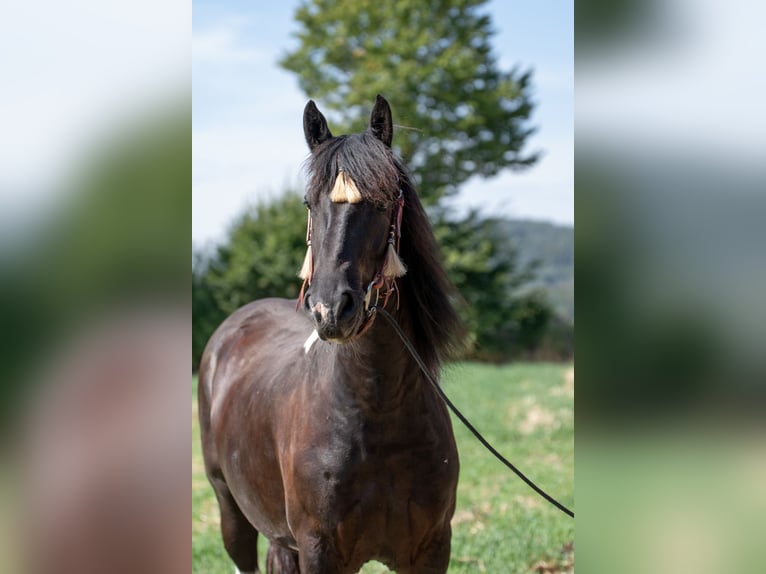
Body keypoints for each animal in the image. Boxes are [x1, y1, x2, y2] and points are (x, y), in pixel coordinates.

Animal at [198, 95, 464, 573]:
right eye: (309, 203)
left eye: (384, 201)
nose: (330, 309)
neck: (378, 412)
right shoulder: (319, 549)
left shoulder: (432, 549)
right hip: (230, 510)